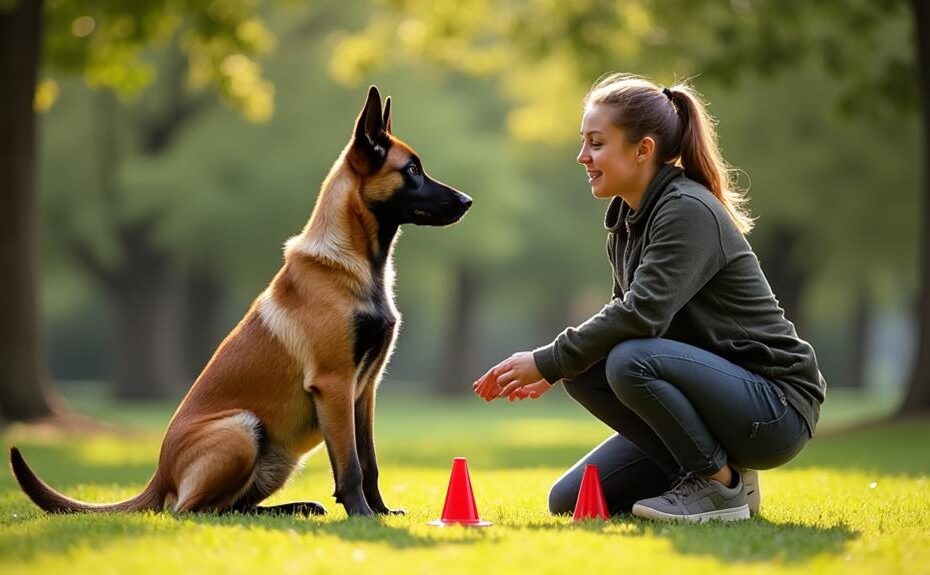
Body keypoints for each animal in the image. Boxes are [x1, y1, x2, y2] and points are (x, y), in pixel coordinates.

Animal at [9, 85, 472, 516]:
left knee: (233, 506)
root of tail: (159, 475)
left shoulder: (365, 391)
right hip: (242, 429)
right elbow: (351, 466)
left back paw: (293, 509)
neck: (353, 263)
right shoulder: (336, 385)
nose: (467, 201)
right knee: (191, 510)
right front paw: (362, 514)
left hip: (274, 456)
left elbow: (370, 461)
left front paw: (380, 511)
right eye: (411, 170)